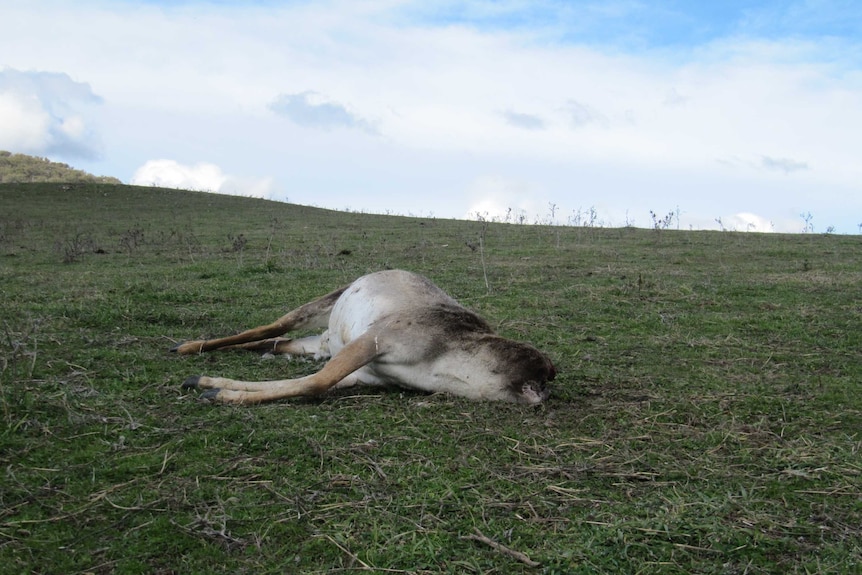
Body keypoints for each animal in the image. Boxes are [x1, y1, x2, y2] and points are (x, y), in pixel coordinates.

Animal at [172, 270, 556, 404]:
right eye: (541, 368)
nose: (549, 380)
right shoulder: (376, 339)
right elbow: (317, 382)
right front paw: (214, 389)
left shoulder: (368, 376)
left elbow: (314, 381)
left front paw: (211, 386)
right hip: (319, 306)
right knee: (271, 329)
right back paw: (186, 347)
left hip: (320, 342)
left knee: (277, 343)